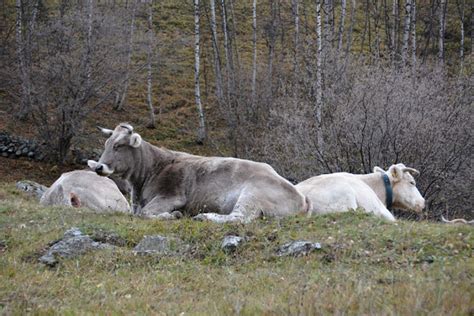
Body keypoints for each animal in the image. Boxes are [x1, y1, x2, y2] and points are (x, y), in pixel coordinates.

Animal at [87, 122, 310, 223]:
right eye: (106, 144)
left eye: (117, 146)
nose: (98, 167)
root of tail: (301, 196)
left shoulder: (172, 196)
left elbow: (145, 213)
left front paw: (173, 215)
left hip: (252, 195)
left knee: (239, 218)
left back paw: (205, 217)